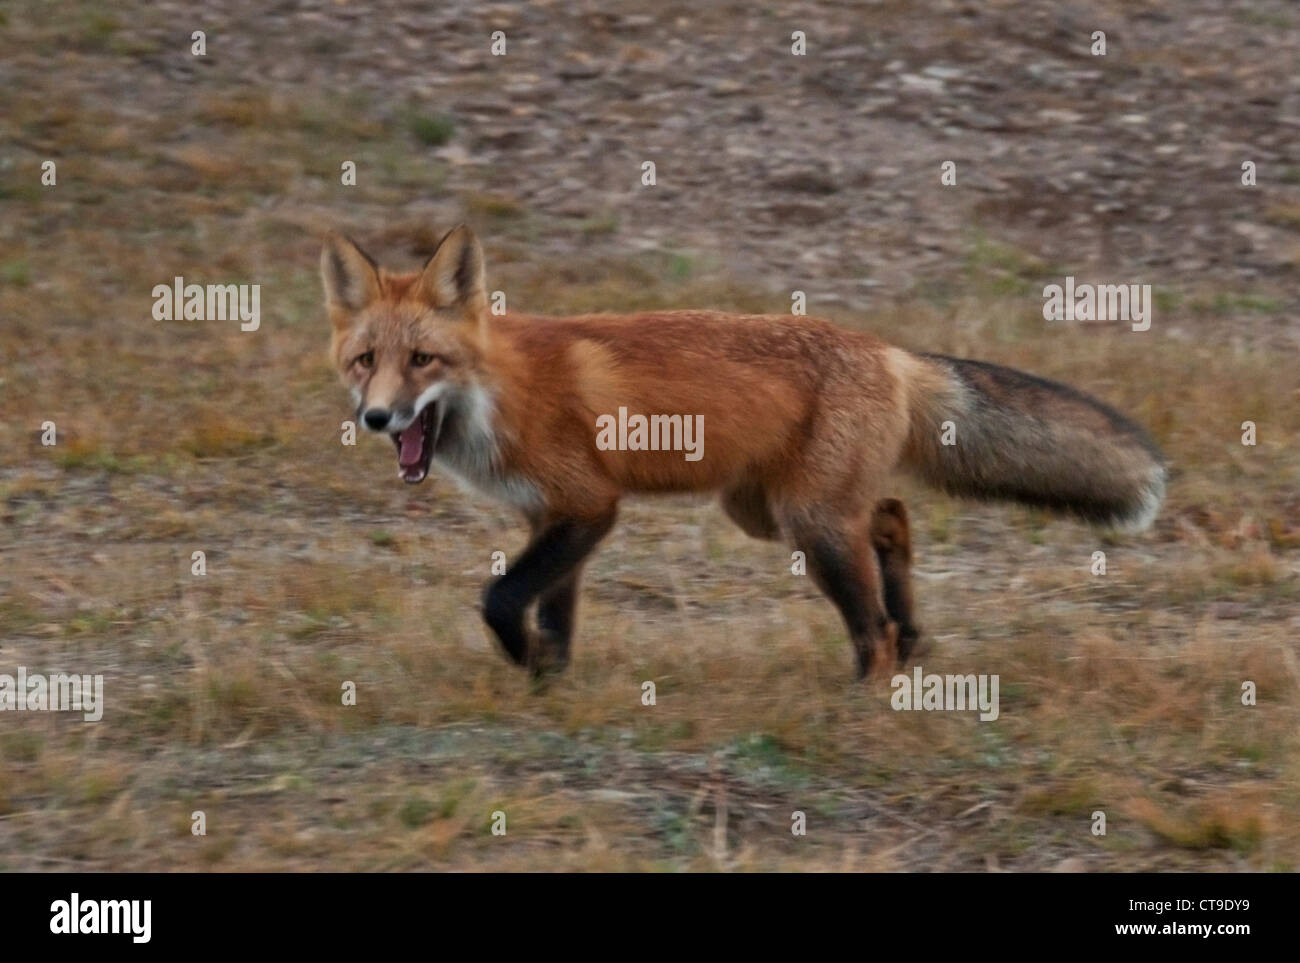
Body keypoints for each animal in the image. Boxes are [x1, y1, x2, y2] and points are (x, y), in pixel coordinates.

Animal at [322, 224, 1170, 675]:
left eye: (422, 361)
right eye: (365, 361)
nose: (379, 417)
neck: (502, 390)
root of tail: (889, 351)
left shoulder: (589, 505)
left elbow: (501, 598)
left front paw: (529, 665)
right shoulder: (555, 516)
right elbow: (554, 613)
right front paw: (551, 682)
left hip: (809, 522)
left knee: (870, 613)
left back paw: (870, 690)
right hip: (770, 510)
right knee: (893, 515)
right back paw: (912, 639)